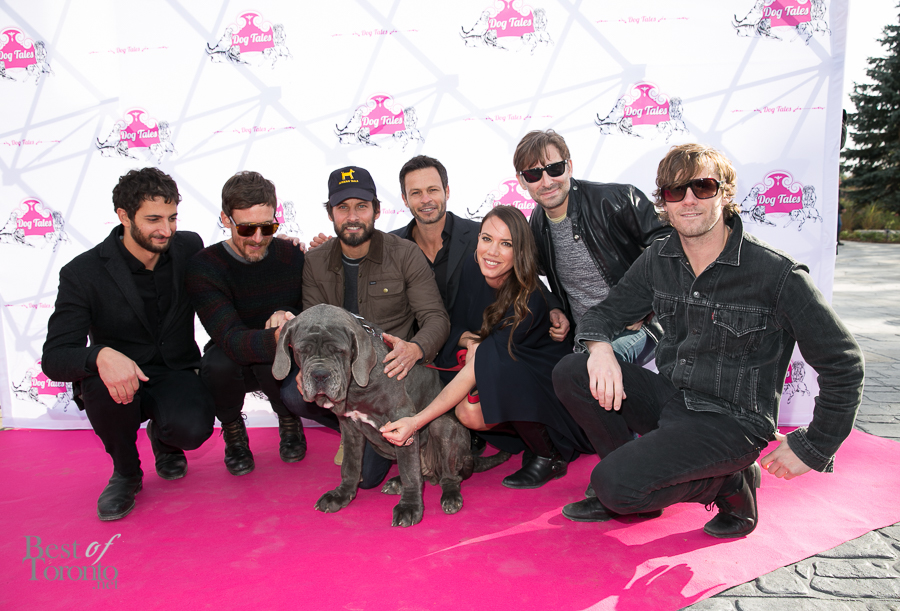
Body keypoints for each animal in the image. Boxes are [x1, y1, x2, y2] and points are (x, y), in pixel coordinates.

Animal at [273, 304, 509, 527]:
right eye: (301, 350)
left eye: (339, 351)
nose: (320, 375)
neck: (356, 385)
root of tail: (469, 457)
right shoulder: (349, 427)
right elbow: (350, 465)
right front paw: (341, 495)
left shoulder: (401, 421)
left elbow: (409, 472)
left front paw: (410, 508)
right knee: (424, 474)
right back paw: (397, 482)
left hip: (443, 427)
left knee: (447, 476)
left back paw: (450, 495)